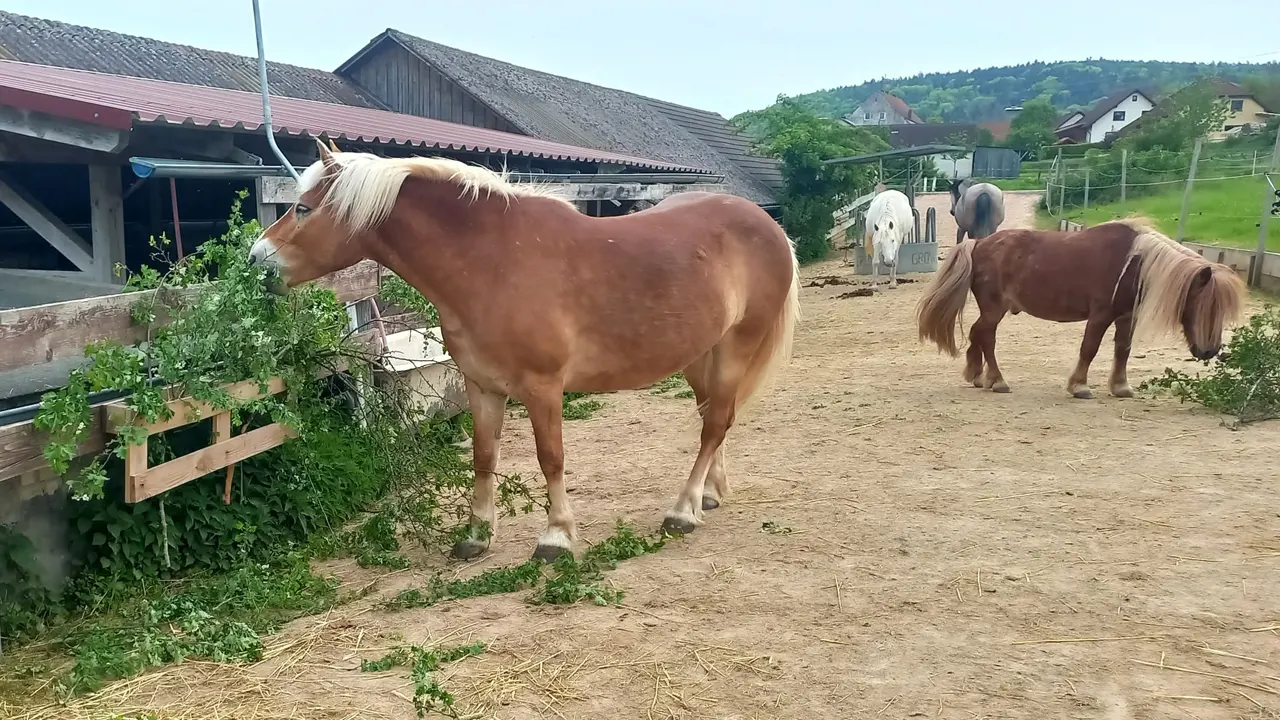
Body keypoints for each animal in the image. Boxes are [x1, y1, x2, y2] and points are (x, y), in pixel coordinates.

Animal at [248, 141, 801, 561]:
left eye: (304, 207)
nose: (256, 261)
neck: (491, 260)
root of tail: (769, 226)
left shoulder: (542, 387)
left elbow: (550, 457)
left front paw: (556, 537)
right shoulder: (482, 385)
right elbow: (483, 455)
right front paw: (476, 536)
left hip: (736, 346)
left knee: (715, 423)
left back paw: (683, 510)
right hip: (700, 355)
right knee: (716, 417)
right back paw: (708, 495)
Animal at [915, 219, 1246, 399]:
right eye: (1203, 306)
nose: (1209, 351)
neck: (1134, 262)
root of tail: (980, 242)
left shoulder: (1126, 317)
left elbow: (1122, 349)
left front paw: (1120, 387)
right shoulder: (1100, 315)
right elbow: (1089, 348)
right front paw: (1079, 386)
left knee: (977, 334)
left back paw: (978, 375)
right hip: (995, 310)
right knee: (986, 337)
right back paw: (997, 380)